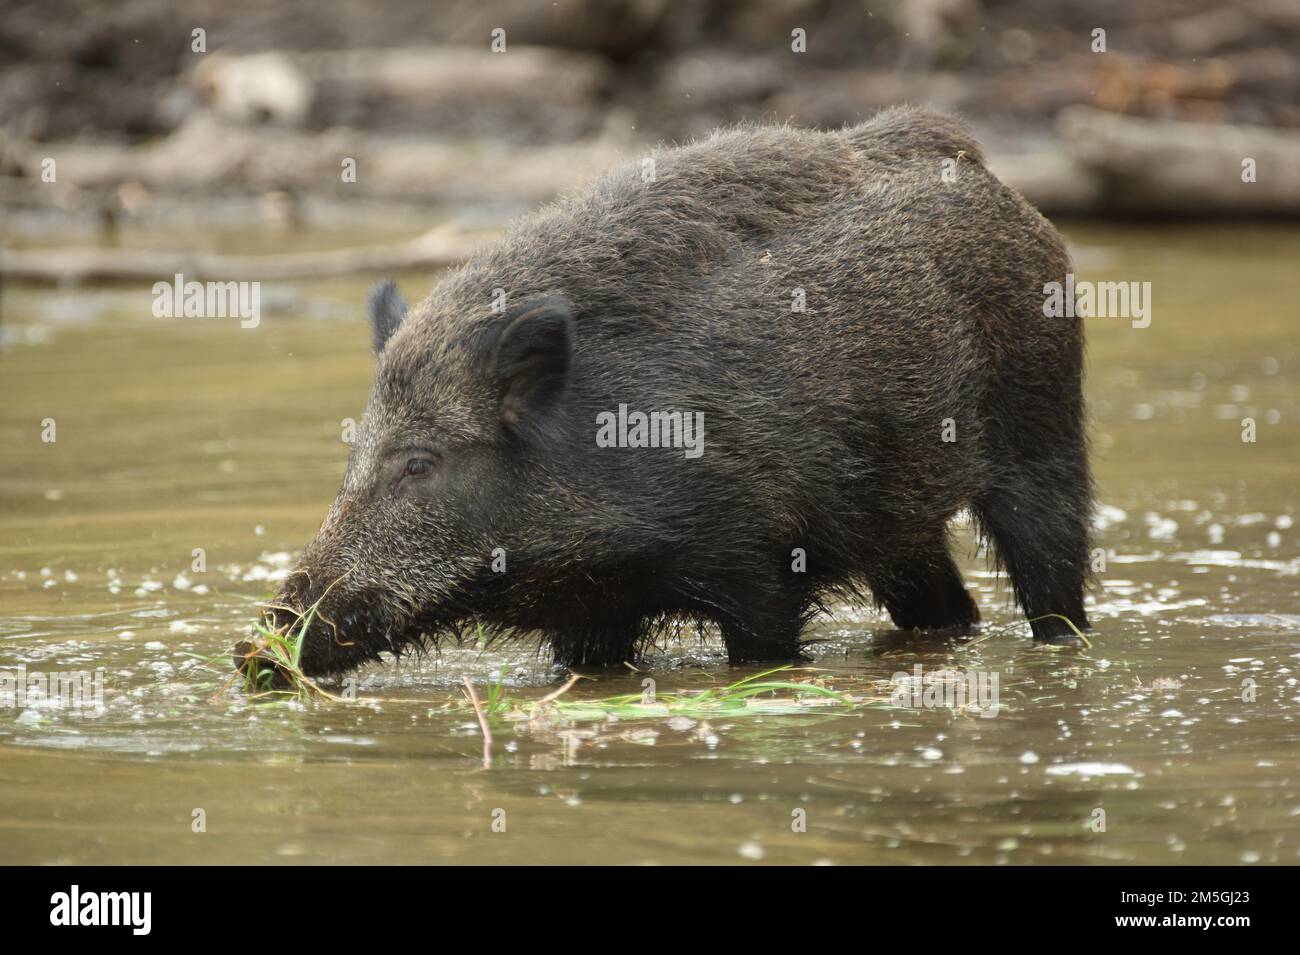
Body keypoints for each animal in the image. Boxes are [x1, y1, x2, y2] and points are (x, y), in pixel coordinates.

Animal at [255, 106, 1092, 679]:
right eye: (355, 454)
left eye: (421, 462)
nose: (259, 643)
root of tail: (973, 161)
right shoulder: (593, 609)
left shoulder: (755, 559)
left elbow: (764, 645)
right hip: (900, 516)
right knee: (947, 604)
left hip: (1042, 420)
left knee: (1052, 567)